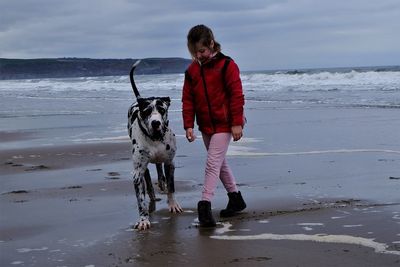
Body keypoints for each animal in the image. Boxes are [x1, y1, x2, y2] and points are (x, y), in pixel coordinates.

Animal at [127, 60, 182, 230]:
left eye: (162, 109)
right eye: (146, 111)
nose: (155, 123)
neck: (155, 138)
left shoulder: (170, 163)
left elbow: (171, 186)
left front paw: (173, 204)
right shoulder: (137, 173)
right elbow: (140, 200)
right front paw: (143, 219)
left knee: (158, 168)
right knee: (148, 181)